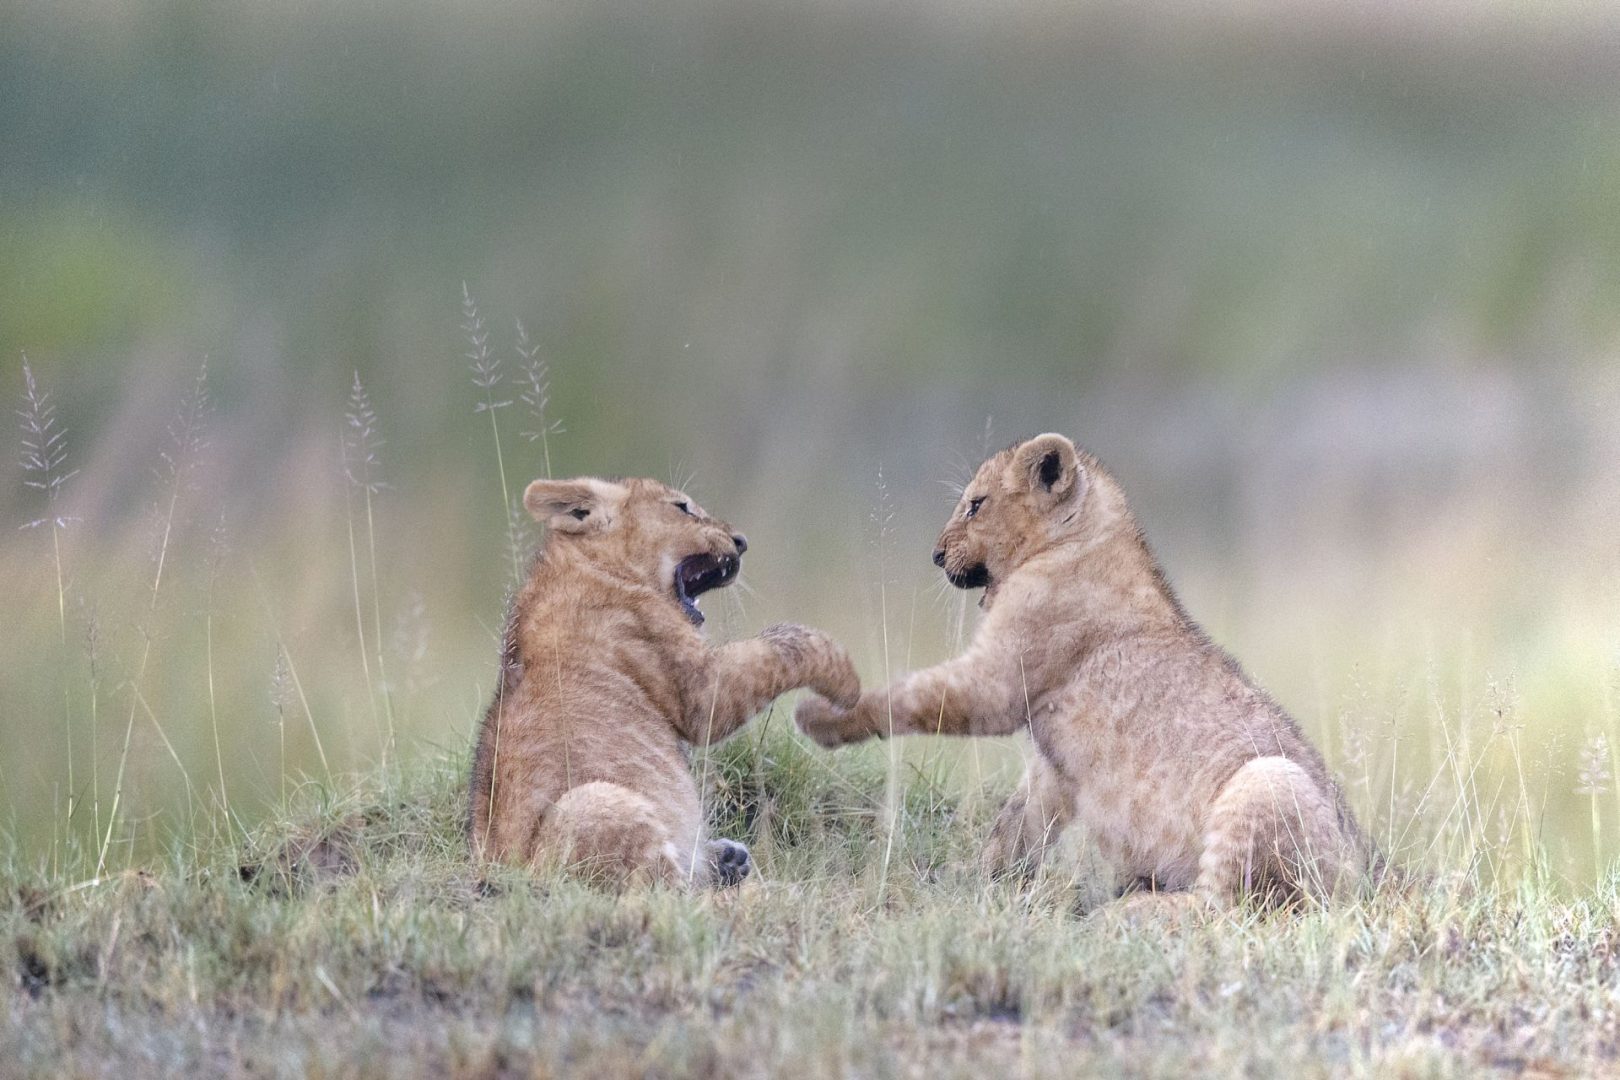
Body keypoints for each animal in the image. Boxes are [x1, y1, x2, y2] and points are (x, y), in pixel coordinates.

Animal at [469, 475, 861, 888]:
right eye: (682, 507)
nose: (741, 541)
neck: (592, 564)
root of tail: (500, 870)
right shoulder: (702, 690)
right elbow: (780, 644)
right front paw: (845, 680)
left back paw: (728, 859)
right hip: (595, 803)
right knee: (667, 890)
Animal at [797, 433, 1370, 909]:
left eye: (975, 505)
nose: (936, 556)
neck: (1080, 540)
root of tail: (1376, 875)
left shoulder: (994, 683)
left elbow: (908, 695)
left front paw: (820, 717)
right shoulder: (1053, 764)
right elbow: (1015, 823)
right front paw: (975, 879)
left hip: (1269, 780)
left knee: (1224, 908)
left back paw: (1130, 912)